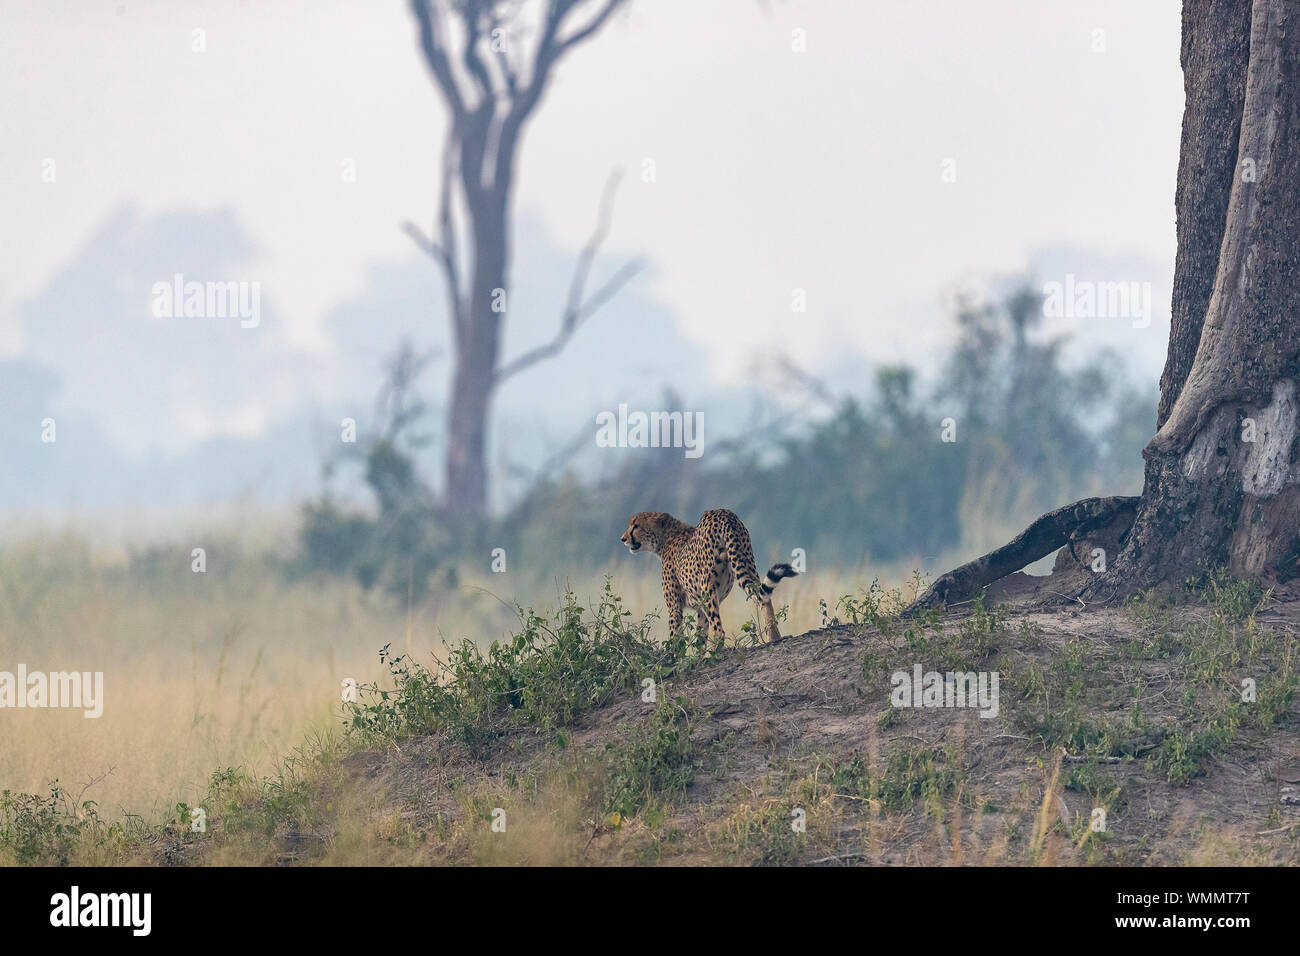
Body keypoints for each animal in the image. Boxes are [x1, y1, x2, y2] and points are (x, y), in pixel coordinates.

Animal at [624, 509, 795, 642]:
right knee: (763, 597)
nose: (623, 538)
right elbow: (700, 636)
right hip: (746, 562)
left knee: (719, 631)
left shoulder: (674, 606)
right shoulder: (700, 606)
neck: (666, 537)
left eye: (636, 526)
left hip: (707, 586)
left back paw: (717, 654)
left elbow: (676, 637)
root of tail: (723, 513)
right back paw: (774, 637)